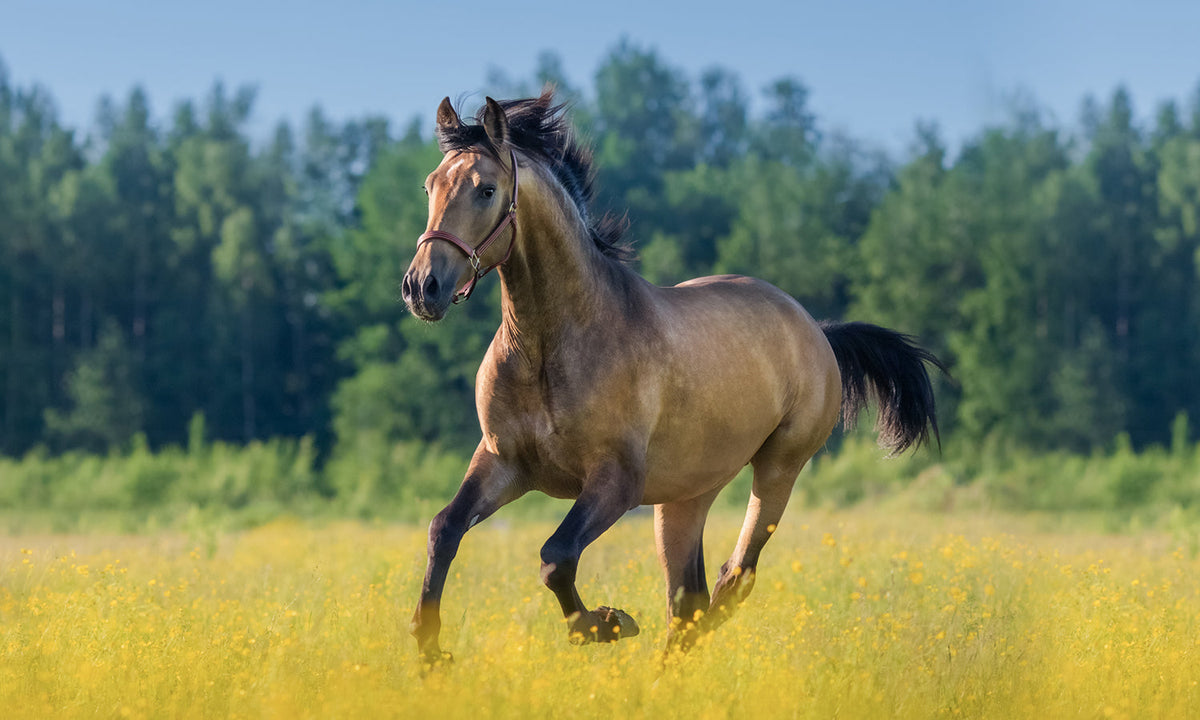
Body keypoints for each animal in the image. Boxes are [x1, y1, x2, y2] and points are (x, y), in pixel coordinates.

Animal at [401, 89, 945, 665]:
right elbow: (443, 529)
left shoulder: (616, 481)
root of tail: (816, 331)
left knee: (733, 579)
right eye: (431, 185)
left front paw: (606, 623)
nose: (422, 287)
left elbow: (556, 556)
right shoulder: (502, 462)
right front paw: (430, 650)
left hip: (778, 468)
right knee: (689, 600)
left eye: (486, 190)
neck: (548, 346)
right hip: (685, 497)